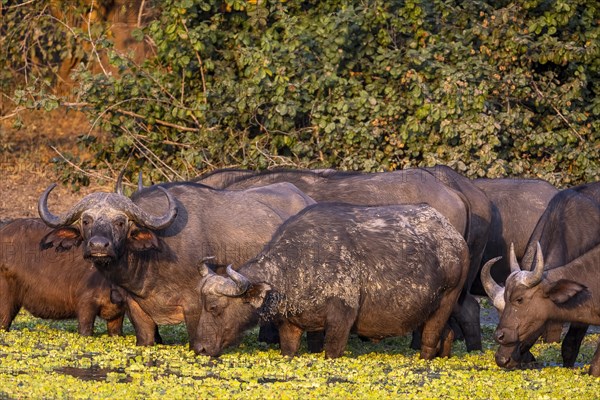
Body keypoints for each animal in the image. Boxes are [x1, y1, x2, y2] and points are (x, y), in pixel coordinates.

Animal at [195, 203, 472, 360]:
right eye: (202, 306)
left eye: (215, 308)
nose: (200, 349)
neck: (301, 263)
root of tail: (454, 237)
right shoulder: (289, 325)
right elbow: (288, 349)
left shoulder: (341, 320)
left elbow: (332, 350)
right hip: (429, 309)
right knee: (447, 333)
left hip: (447, 300)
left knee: (429, 340)